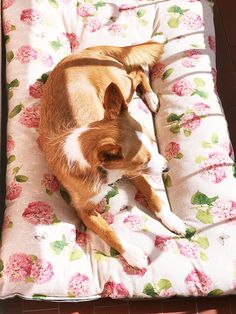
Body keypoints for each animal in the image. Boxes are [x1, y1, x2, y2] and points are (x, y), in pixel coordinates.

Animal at [38, 41, 186, 268]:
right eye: (143, 161)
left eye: (154, 143)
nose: (167, 168)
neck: (106, 173)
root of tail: (84, 52)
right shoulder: (85, 212)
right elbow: (108, 232)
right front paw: (132, 254)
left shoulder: (133, 174)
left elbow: (152, 194)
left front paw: (171, 219)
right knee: (137, 71)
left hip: (121, 86)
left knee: (138, 71)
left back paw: (151, 98)